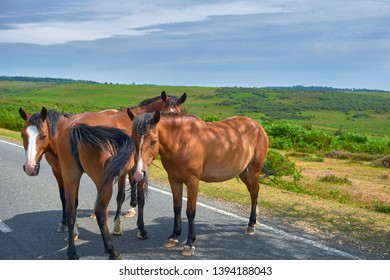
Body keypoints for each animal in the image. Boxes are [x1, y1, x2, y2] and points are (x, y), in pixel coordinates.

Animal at [125, 111, 268, 256]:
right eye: (133, 140)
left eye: (154, 141)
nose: (138, 173)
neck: (181, 141)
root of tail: (257, 126)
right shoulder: (174, 180)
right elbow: (177, 208)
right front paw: (174, 237)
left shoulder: (192, 181)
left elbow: (190, 211)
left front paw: (189, 244)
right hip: (243, 171)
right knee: (253, 191)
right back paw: (254, 221)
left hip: (254, 170)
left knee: (254, 193)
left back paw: (250, 225)